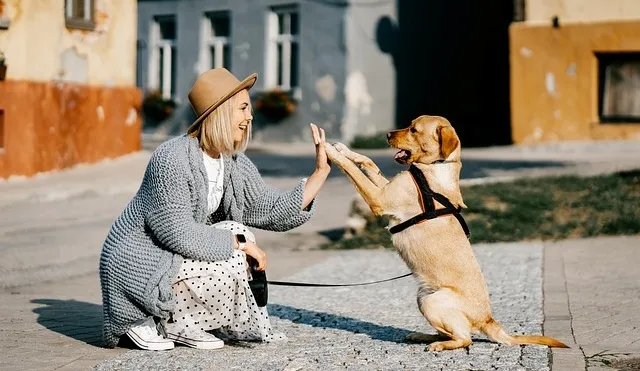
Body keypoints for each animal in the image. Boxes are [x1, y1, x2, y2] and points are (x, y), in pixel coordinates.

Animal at [322, 115, 568, 352]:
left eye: (414, 130)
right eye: (409, 125)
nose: (387, 134)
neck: (434, 168)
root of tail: (488, 319)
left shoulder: (380, 198)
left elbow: (352, 170)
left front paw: (329, 151)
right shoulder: (385, 189)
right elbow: (368, 162)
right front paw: (343, 149)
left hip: (433, 302)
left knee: (465, 339)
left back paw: (439, 345)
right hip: (422, 297)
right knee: (451, 333)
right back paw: (422, 336)